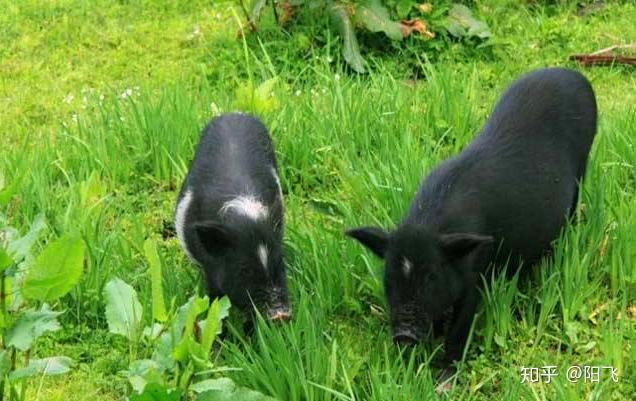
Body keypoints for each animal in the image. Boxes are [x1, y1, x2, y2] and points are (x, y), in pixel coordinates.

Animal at [176, 112, 290, 322]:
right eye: (245, 270)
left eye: (279, 262)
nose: (280, 315)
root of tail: (233, 113)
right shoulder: (209, 269)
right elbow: (215, 302)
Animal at [346, 68, 592, 368]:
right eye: (389, 274)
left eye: (431, 276)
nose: (404, 335)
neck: (428, 225)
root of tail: (573, 74)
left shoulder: (475, 274)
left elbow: (460, 328)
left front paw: (445, 375)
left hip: (582, 169)